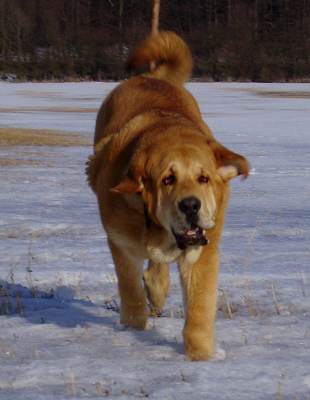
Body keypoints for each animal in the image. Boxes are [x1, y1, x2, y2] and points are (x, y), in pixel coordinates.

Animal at [86, 31, 249, 360]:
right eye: (167, 179)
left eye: (203, 178)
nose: (190, 205)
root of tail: (151, 76)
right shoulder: (120, 242)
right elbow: (131, 294)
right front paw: (133, 330)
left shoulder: (203, 252)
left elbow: (200, 309)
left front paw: (202, 357)